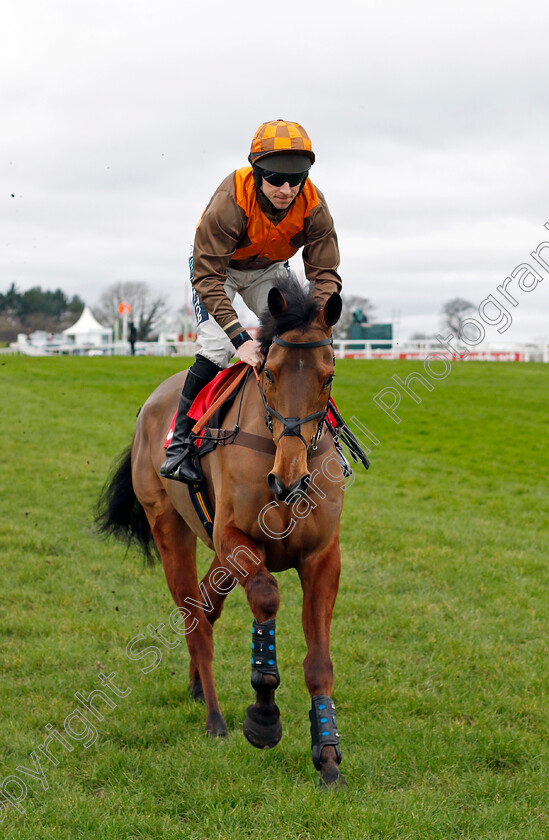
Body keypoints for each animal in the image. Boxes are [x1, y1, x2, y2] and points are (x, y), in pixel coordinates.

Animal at [96, 280, 346, 788]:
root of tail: (151, 402)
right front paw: (263, 717)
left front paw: (328, 755)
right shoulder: (236, 539)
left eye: (327, 377)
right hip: (170, 526)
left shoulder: (321, 557)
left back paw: (197, 686)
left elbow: (319, 663)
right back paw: (214, 717)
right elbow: (266, 598)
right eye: (269, 374)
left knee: (206, 606)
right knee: (193, 617)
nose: (288, 481)